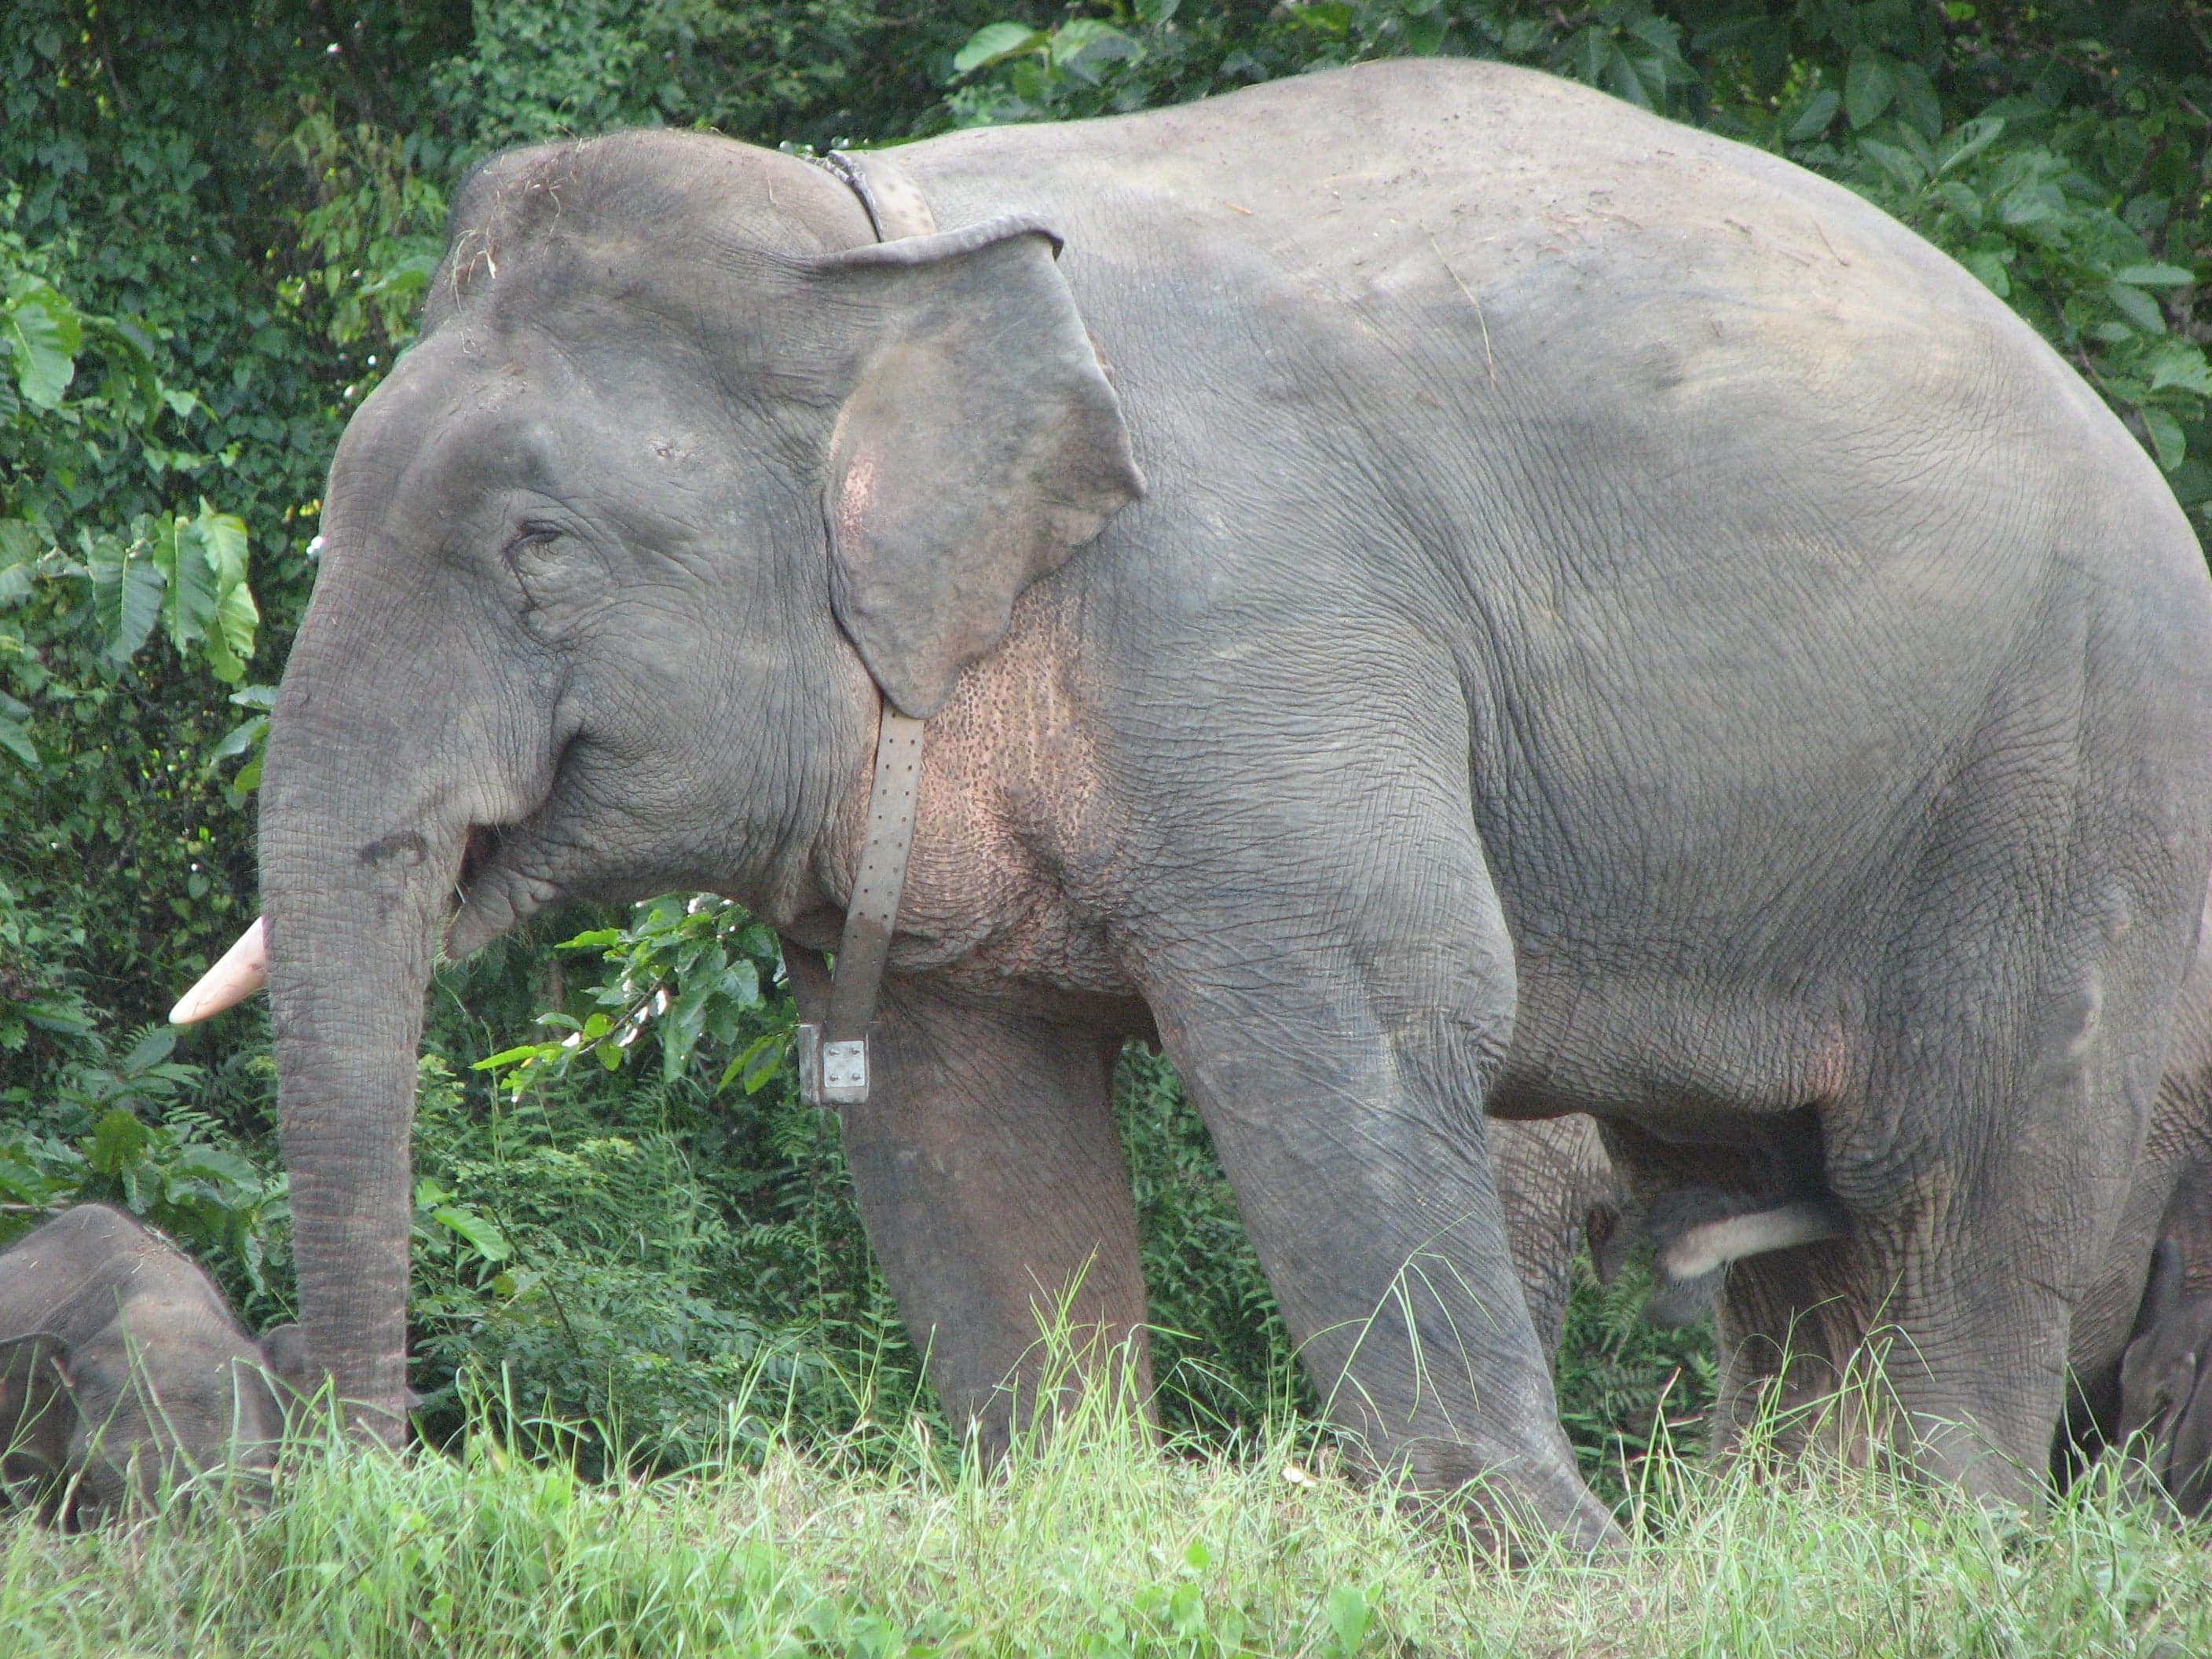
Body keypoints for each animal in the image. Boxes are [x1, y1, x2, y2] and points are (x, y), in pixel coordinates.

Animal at [171, 58, 2212, 1547]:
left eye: (539, 549)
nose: (363, 1489)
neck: (879, 248)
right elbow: (960, 1104)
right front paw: (1078, 1518)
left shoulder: (1260, 621)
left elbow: (1363, 1011)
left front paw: (1550, 1567)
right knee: (1793, 1223)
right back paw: (1794, 1553)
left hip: (2070, 778)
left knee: (1968, 1169)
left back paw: (1931, 1549)